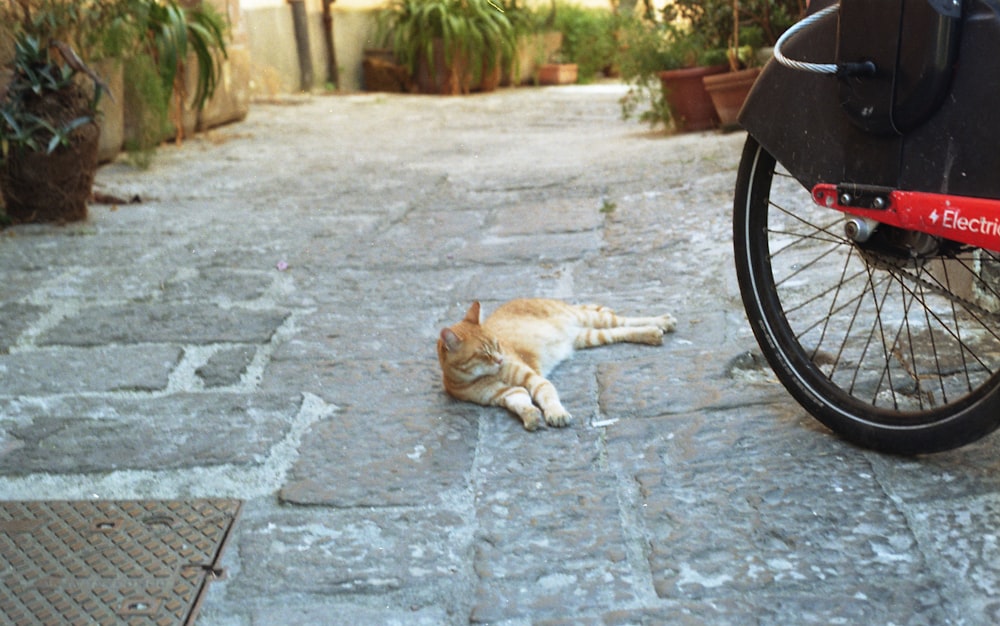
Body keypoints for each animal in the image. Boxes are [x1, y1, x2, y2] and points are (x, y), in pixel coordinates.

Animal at [436, 298, 676, 428]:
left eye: (497, 344)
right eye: (483, 354)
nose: (500, 359)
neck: (480, 377)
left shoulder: (533, 379)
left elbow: (547, 395)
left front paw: (556, 413)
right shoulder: (504, 393)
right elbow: (521, 402)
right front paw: (530, 415)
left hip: (589, 318)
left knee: (625, 320)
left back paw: (662, 322)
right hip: (589, 336)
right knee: (620, 331)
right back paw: (651, 334)